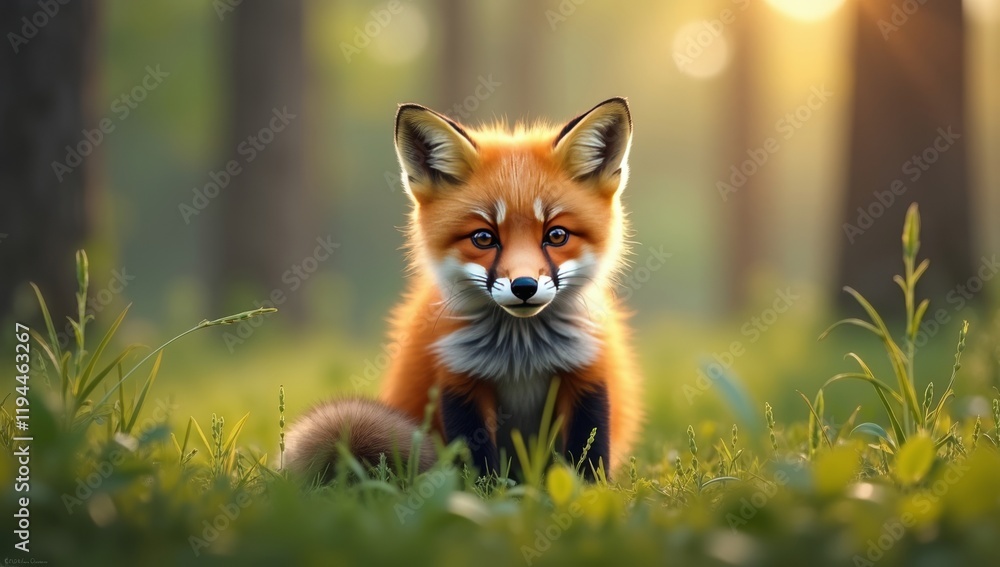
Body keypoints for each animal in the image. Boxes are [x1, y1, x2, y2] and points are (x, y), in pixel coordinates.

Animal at [284, 97, 643, 482]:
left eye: (557, 235)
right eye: (483, 238)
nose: (525, 286)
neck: (521, 356)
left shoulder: (587, 374)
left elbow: (587, 458)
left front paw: (585, 490)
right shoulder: (459, 380)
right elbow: (479, 467)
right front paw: (483, 493)